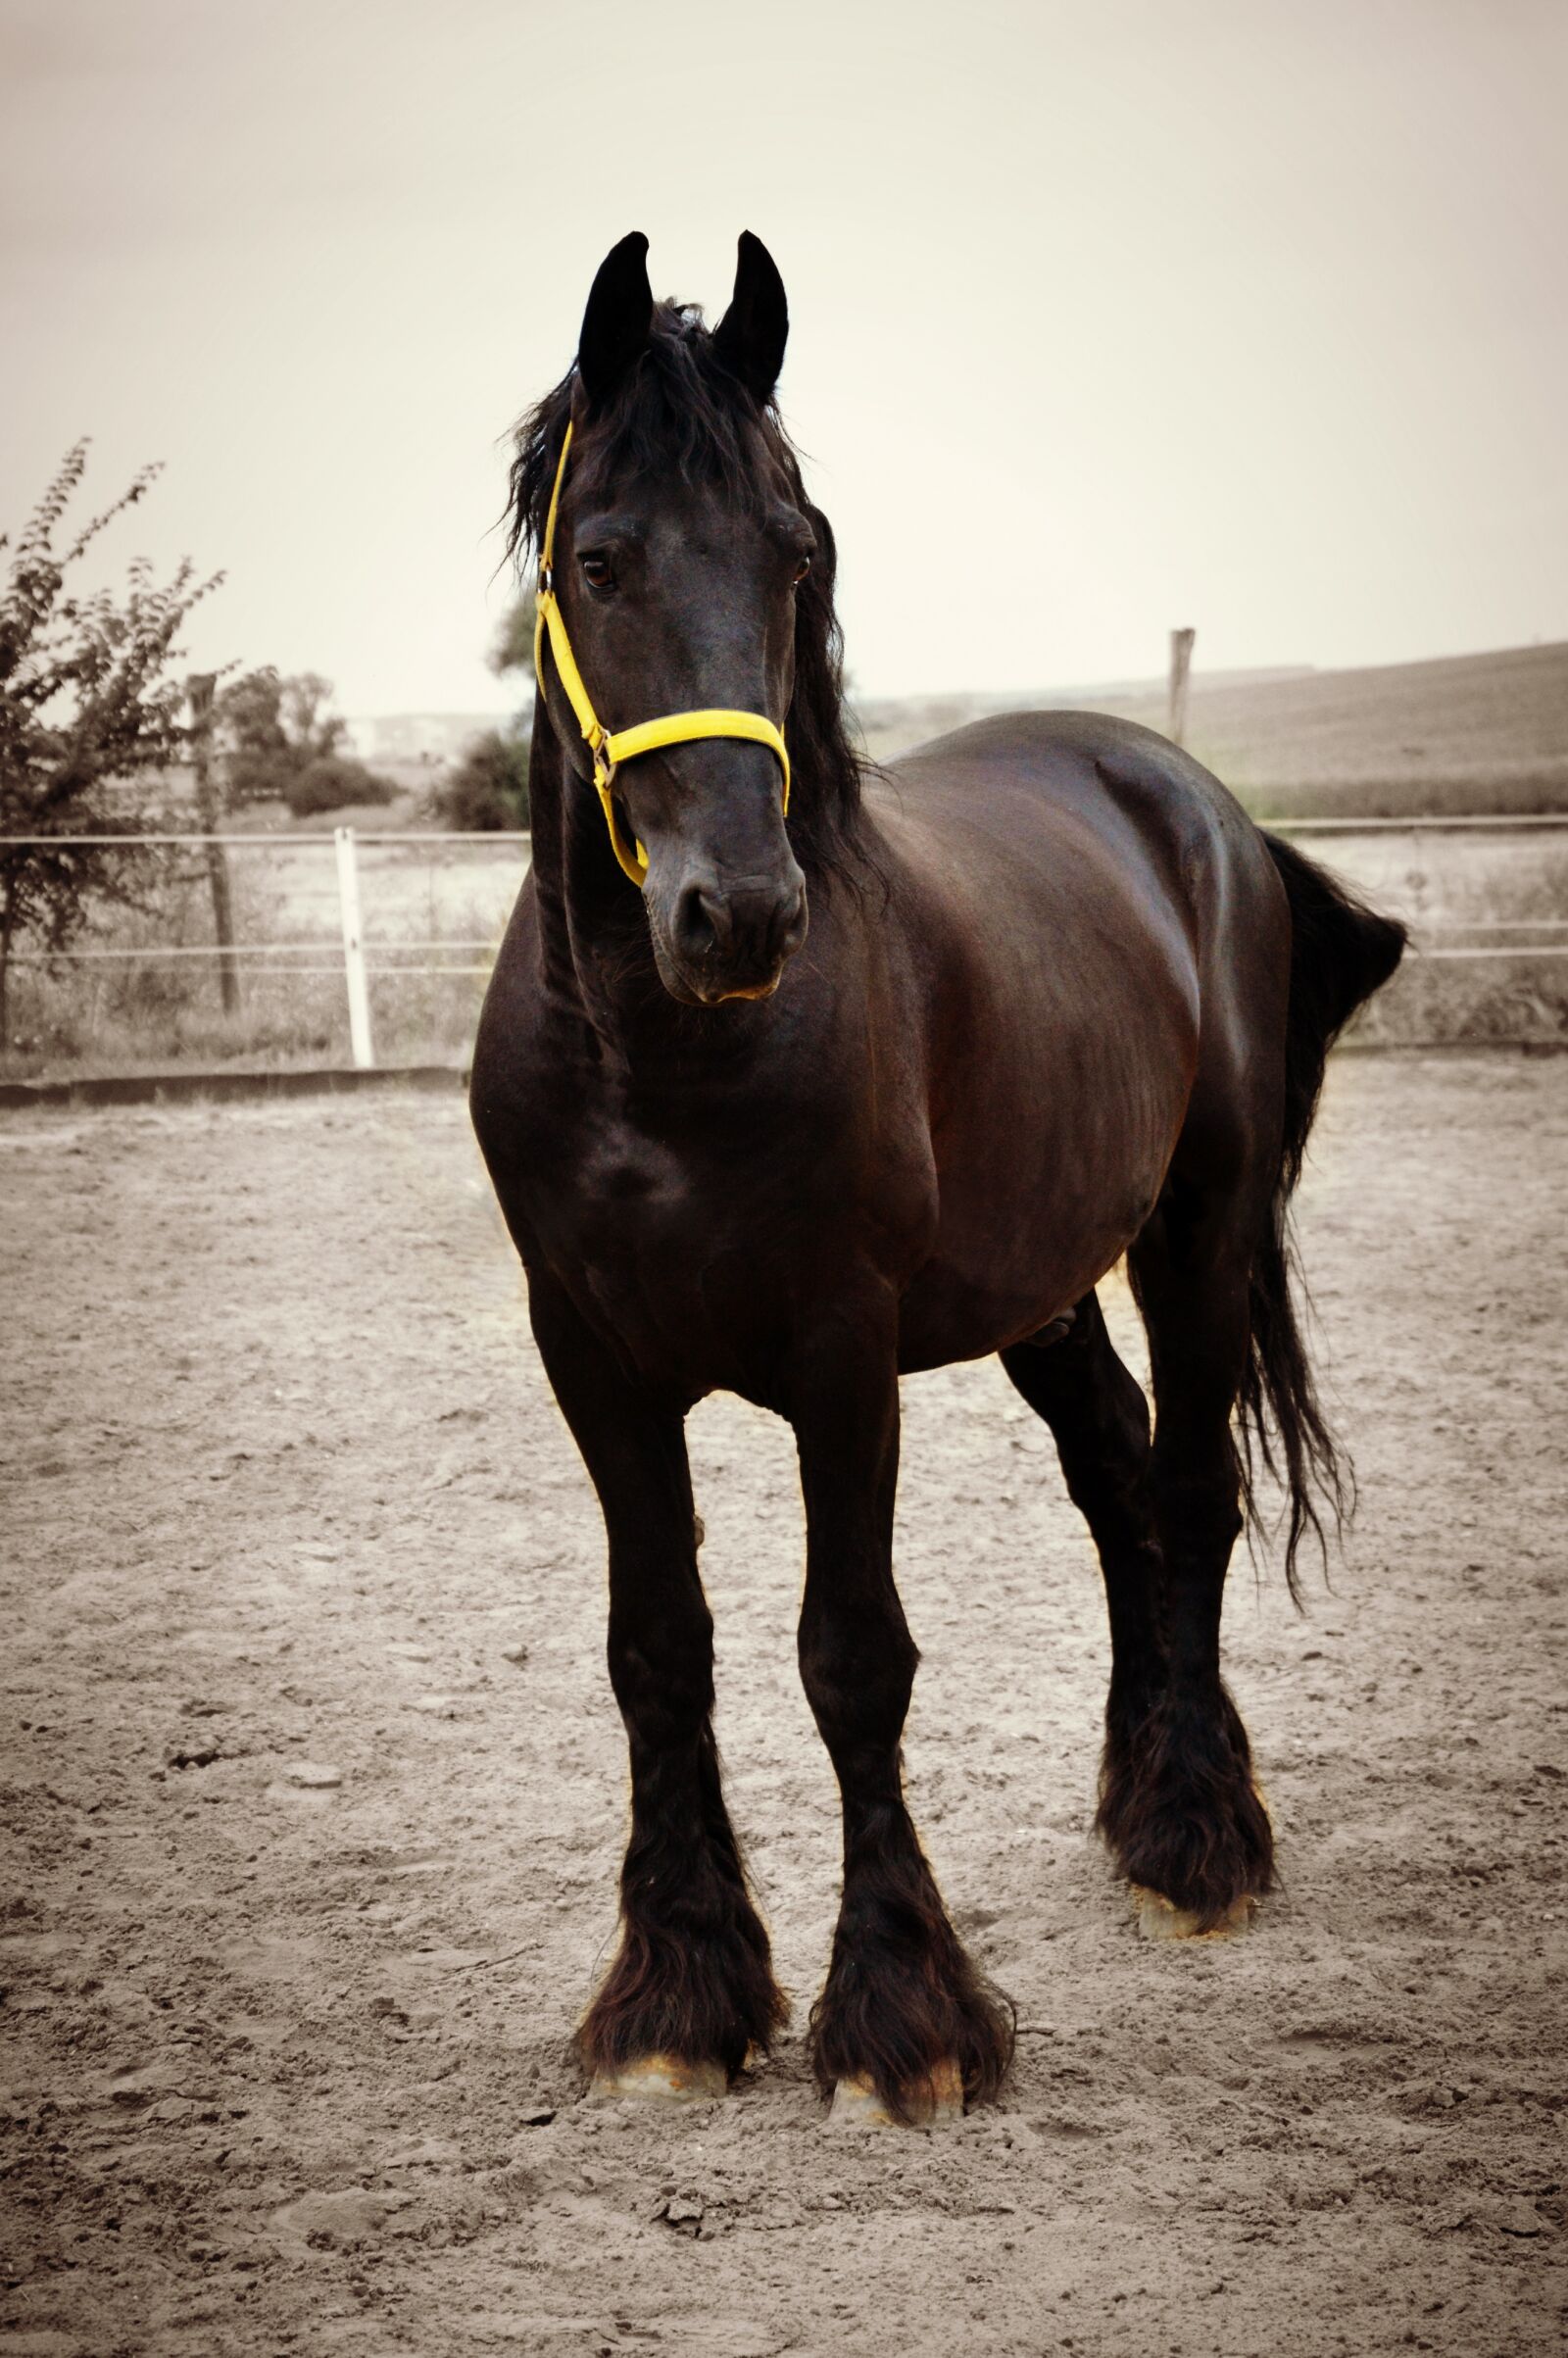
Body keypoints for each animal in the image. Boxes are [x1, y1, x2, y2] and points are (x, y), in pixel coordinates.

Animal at [469, 230, 1407, 2125]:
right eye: (599, 558)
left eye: (797, 550)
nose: (739, 914)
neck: (654, 1060)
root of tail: (1186, 796)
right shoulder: (591, 1357)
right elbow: (653, 1644)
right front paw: (678, 1998)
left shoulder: (843, 1356)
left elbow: (853, 1654)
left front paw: (902, 2019)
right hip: (1043, 1287)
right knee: (1121, 1482)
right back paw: (1142, 1798)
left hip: (1193, 1234)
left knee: (1192, 1490)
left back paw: (1196, 1839)